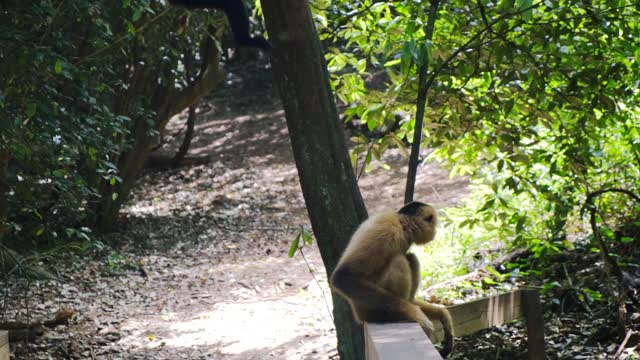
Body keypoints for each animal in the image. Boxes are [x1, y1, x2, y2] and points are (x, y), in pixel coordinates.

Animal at [330, 202, 456, 358]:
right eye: (433, 223)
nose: (435, 231)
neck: (402, 224)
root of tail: (358, 314)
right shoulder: (387, 230)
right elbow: (343, 277)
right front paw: (417, 315)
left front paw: (442, 315)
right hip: (369, 308)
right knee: (399, 260)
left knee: (410, 257)